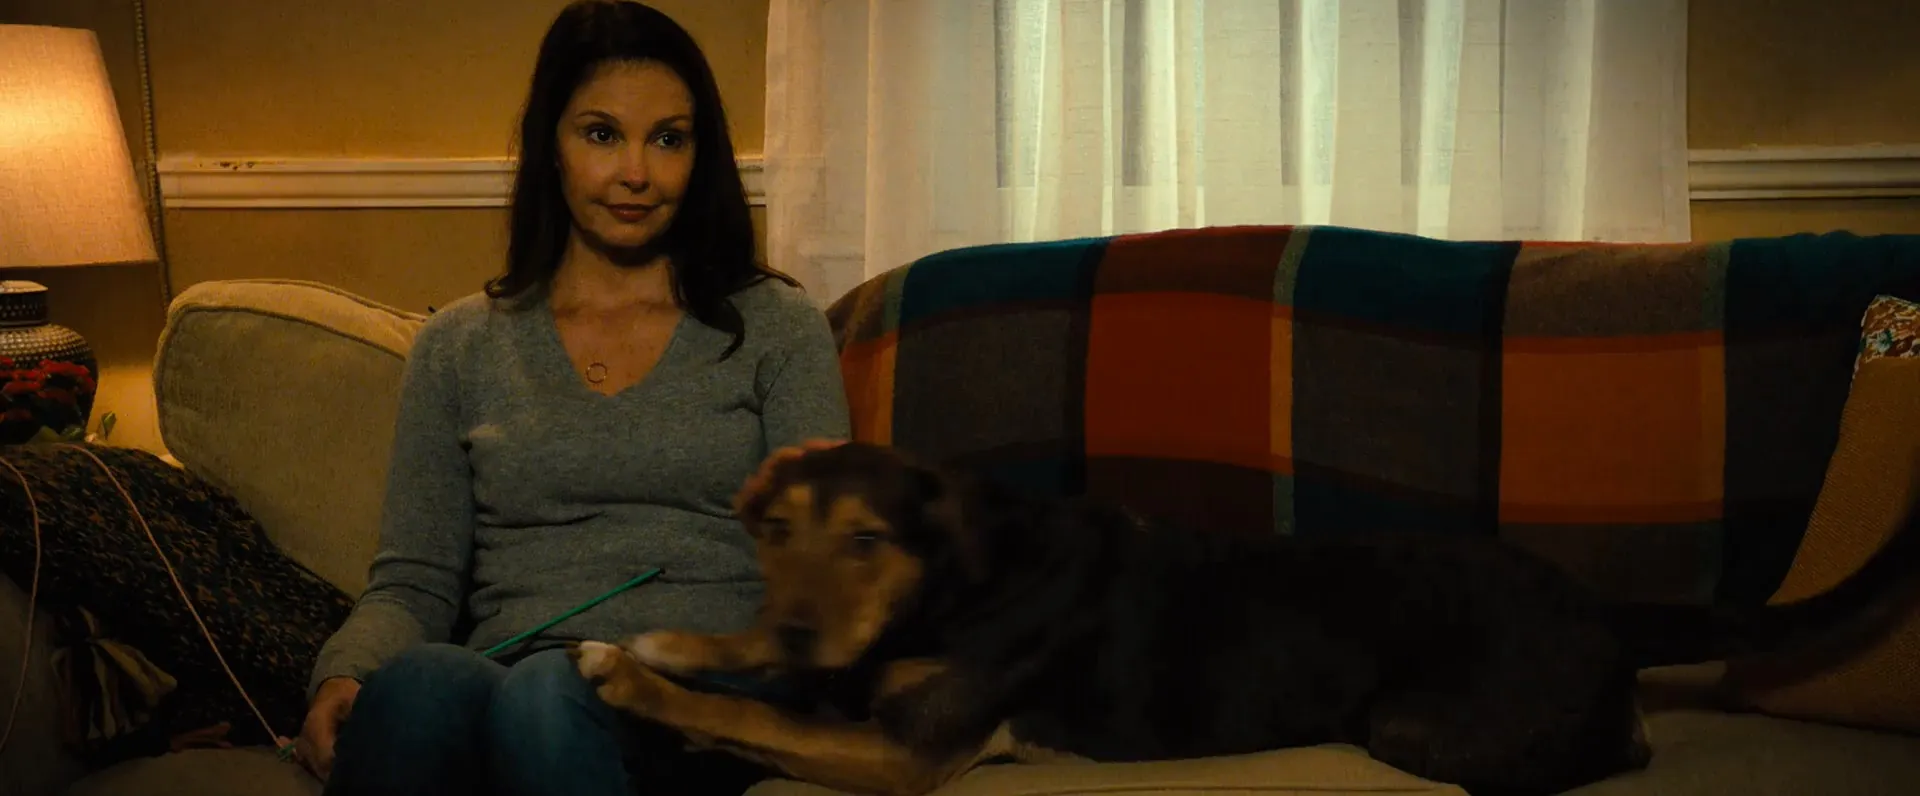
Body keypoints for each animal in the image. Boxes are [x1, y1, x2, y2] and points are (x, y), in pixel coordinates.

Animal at [571, 442, 1920, 796]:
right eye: (773, 532)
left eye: (867, 541)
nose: (805, 633)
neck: (963, 576)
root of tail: (1598, 606)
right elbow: (748, 677)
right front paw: (679, 641)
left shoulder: (906, 751)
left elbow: (753, 716)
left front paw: (636, 678)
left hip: (1419, 727)